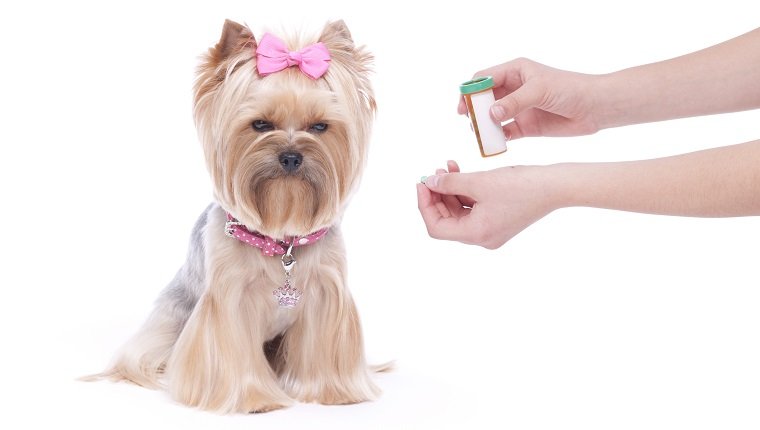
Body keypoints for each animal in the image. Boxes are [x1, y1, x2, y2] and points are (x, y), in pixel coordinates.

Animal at [93, 17, 380, 414]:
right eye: (260, 124)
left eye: (320, 126)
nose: (291, 156)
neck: (281, 241)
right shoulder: (228, 301)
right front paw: (255, 399)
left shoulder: (326, 294)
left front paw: (333, 393)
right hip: (169, 320)